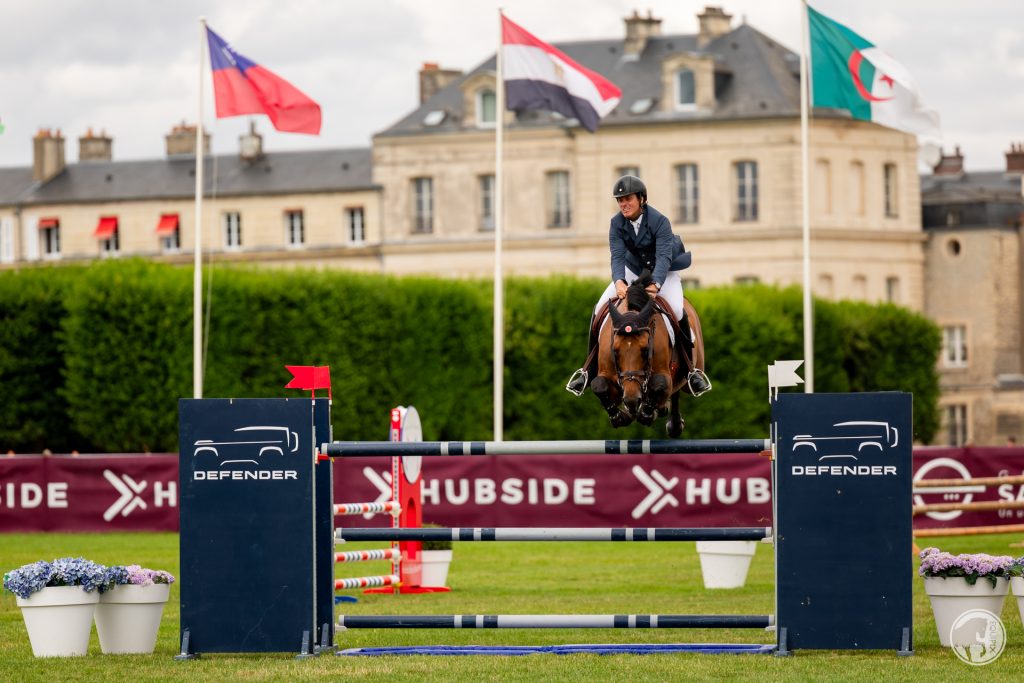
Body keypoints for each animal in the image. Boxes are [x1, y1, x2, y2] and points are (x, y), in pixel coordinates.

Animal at [593, 272, 704, 438]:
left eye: (646, 350)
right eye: (615, 350)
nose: (632, 399)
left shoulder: (665, 375)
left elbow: (660, 383)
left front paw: (646, 414)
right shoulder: (607, 373)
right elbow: (599, 385)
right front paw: (619, 417)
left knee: (677, 390)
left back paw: (673, 422)